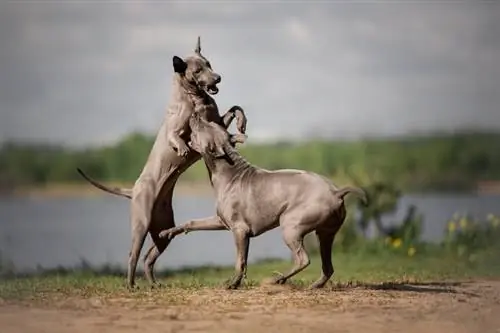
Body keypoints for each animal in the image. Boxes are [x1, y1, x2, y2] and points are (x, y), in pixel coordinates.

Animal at [77, 37, 247, 288]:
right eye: (198, 70)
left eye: (209, 64)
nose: (217, 78)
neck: (195, 97)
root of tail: (133, 190)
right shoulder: (177, 129)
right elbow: (177, 136)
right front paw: (183, 148)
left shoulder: (217, 123)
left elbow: (235, 108)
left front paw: (242, 123)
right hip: (140, 224)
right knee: (133, 254)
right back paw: (131, 285)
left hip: (162, 228)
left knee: (149, 257)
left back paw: (153, 283)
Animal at [160, 114, 368, 288]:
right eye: (211, 123)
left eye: (204, 125)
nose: (195, 114)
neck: (228, 171)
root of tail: (336, 191)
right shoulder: (221, 221)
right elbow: (192, 222)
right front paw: (167, 232)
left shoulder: (240, 230)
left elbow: (240, 261)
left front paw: (233, 284)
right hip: (326, 233)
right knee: (328, 267)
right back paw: (314, 285)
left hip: (291, 226)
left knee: (303, 259)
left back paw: (278, 279)